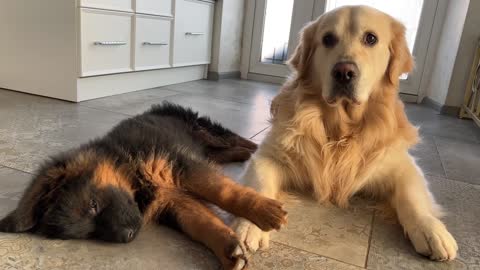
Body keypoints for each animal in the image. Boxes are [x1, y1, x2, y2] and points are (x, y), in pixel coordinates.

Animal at [0, 102, 286, 268]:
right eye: (88, 234)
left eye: (93, 205)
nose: (127, 237)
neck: (125, 163)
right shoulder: (173, 200)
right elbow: (201, 224)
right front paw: (230, 250)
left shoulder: (181, 165)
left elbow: (222, 190)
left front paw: (263, 210)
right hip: (207, 147)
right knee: (224, 152)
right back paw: (245, 155)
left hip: (206, 131)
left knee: (236, 140)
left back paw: (257, 150)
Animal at [232, 5, 458, 264]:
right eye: (328, 39)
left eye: (371, 38)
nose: (344, 72)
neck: (341, 129)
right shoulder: (268, 156)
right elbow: (258, 187)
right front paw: (251, 222)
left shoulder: (402, 164)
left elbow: (412, 197)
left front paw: (430, 229)